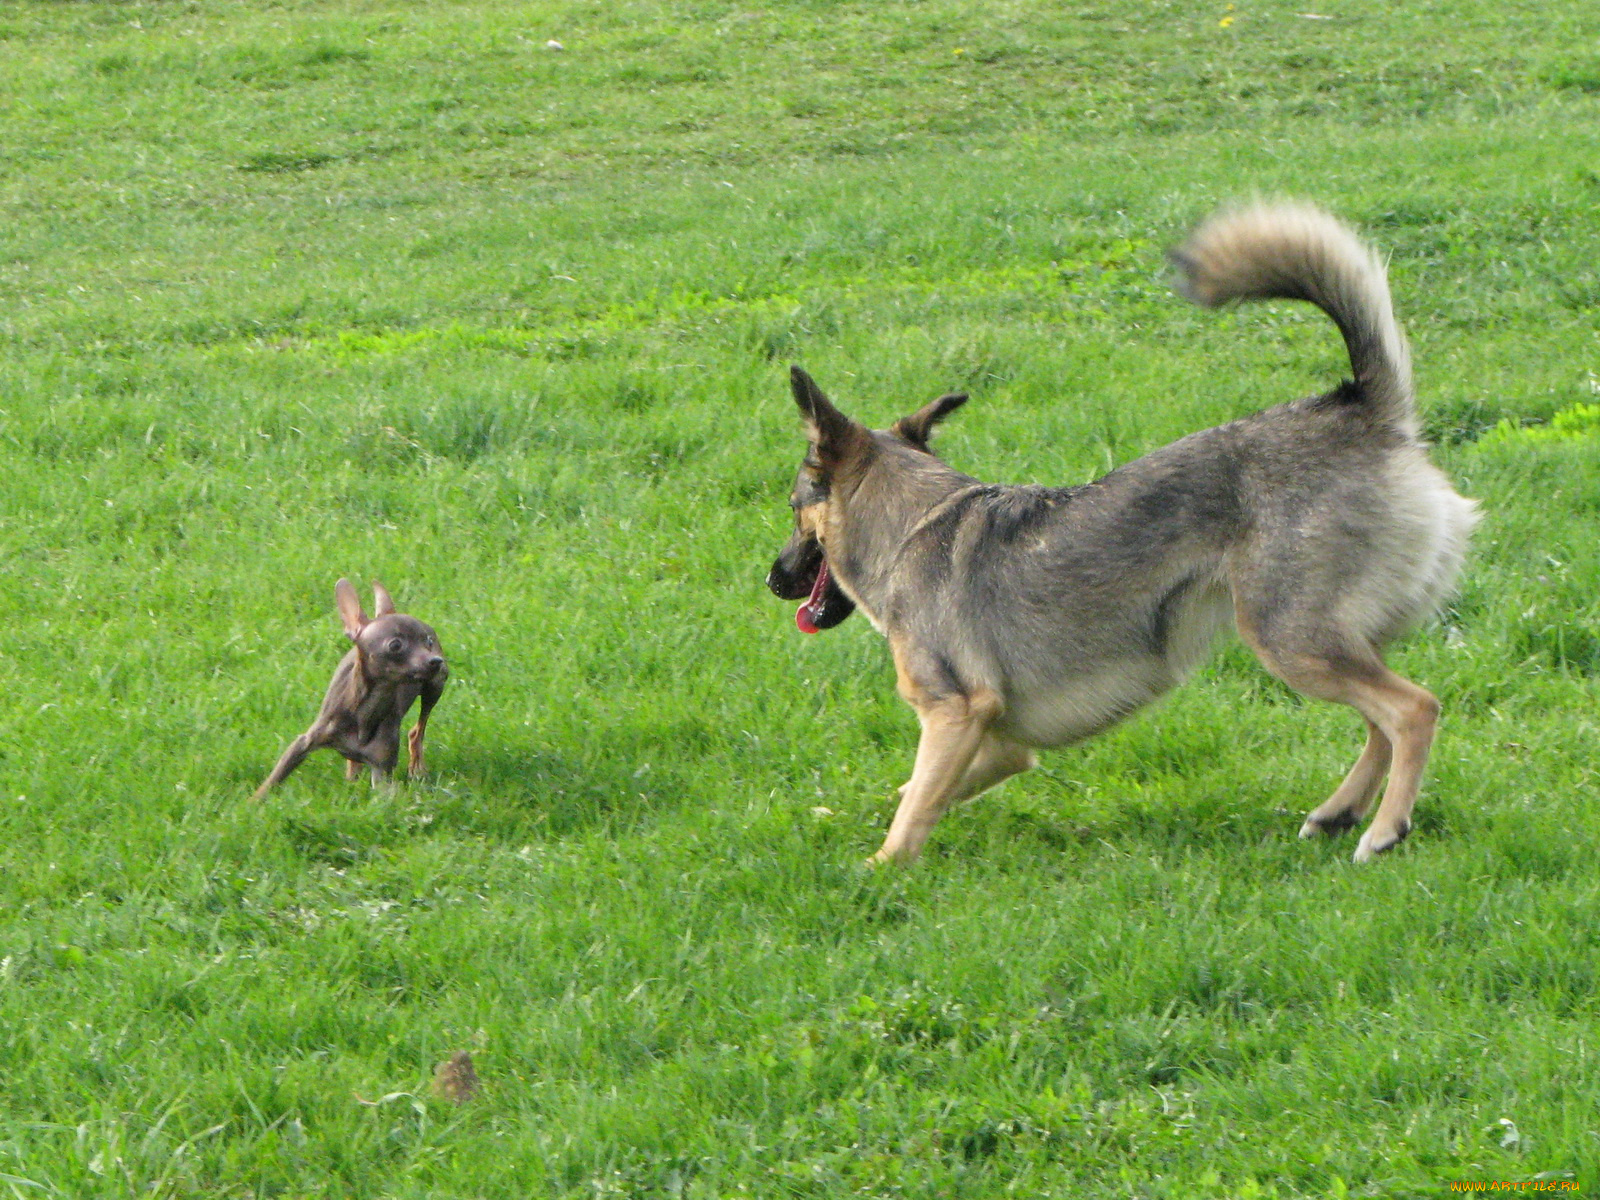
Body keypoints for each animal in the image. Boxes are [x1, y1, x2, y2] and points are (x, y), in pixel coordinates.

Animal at [252, 579, 448, 803]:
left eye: (428, 642)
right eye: (395, 645)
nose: (435, 660)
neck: (366, 710)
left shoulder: (382, 772)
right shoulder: (302, 743)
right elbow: (273, 780)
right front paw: (253, 802)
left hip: (435, 687)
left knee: (417, 731)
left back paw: (417, 768)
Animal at [768, 204, 1478, 864]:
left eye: (794, 507)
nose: (774, 579)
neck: (912, 523)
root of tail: (1366, 410)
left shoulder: (956, 713)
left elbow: (911, 809)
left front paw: (877, 868)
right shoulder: (999, 744)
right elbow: (914, 793)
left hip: (1290, 638)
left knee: (1413, 710)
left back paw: (1383, 830)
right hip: (1329, 639)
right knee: (1381, 721)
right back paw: (1340, 813)